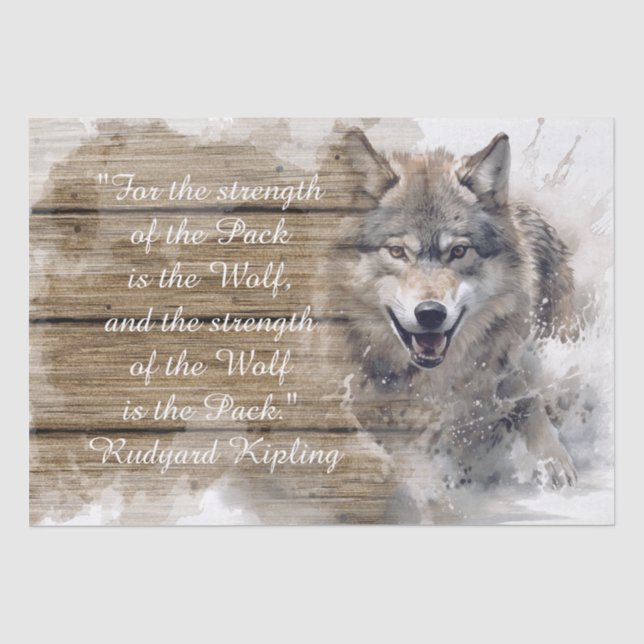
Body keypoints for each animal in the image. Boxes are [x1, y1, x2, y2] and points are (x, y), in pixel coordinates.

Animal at [331, 127, 577, 489]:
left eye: (459, 251)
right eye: (397, 252)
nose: (430, 313)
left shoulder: (509, 361)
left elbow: (527, 401)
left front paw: (550, 461)